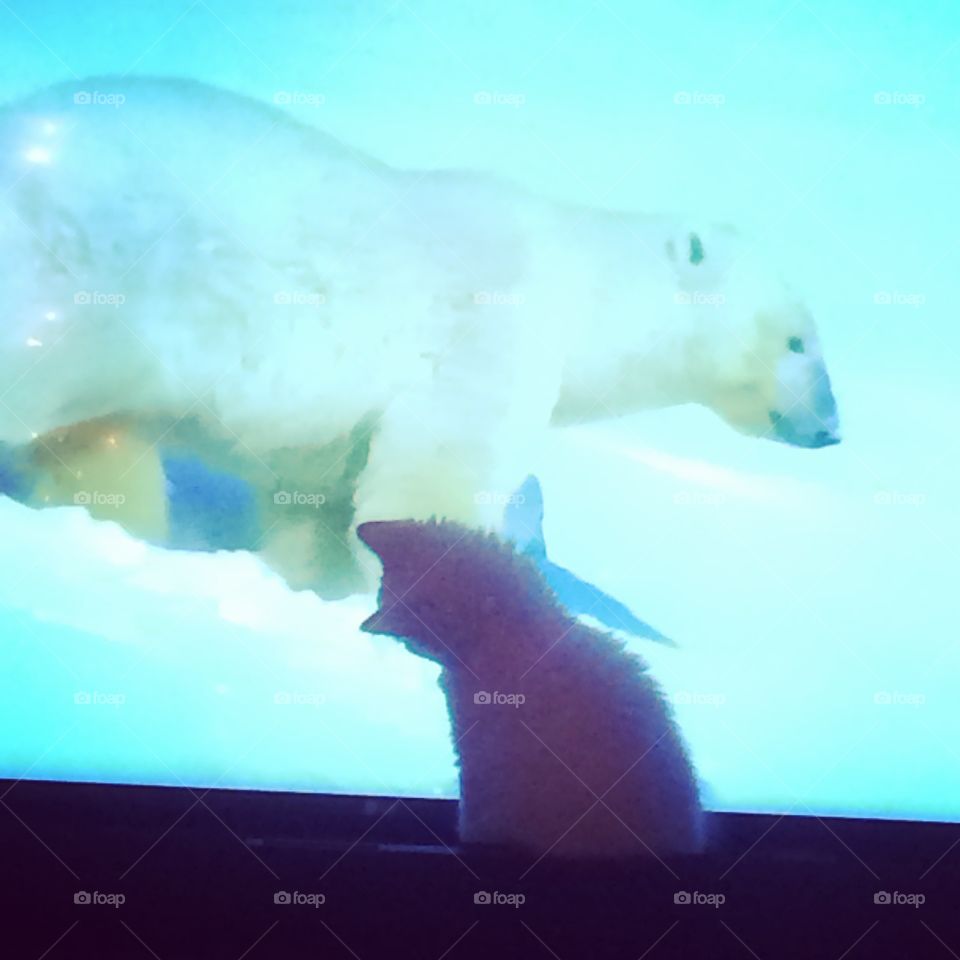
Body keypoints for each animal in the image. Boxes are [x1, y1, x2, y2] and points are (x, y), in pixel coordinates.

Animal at [0, 77, 840, 596]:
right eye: (800, 341)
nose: (832, 428)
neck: (585, 287)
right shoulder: (494, 325)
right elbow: (437, 474)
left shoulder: (329, 423)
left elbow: (319, 495)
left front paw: (317, 583)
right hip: (97, 272)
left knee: (96, 435)